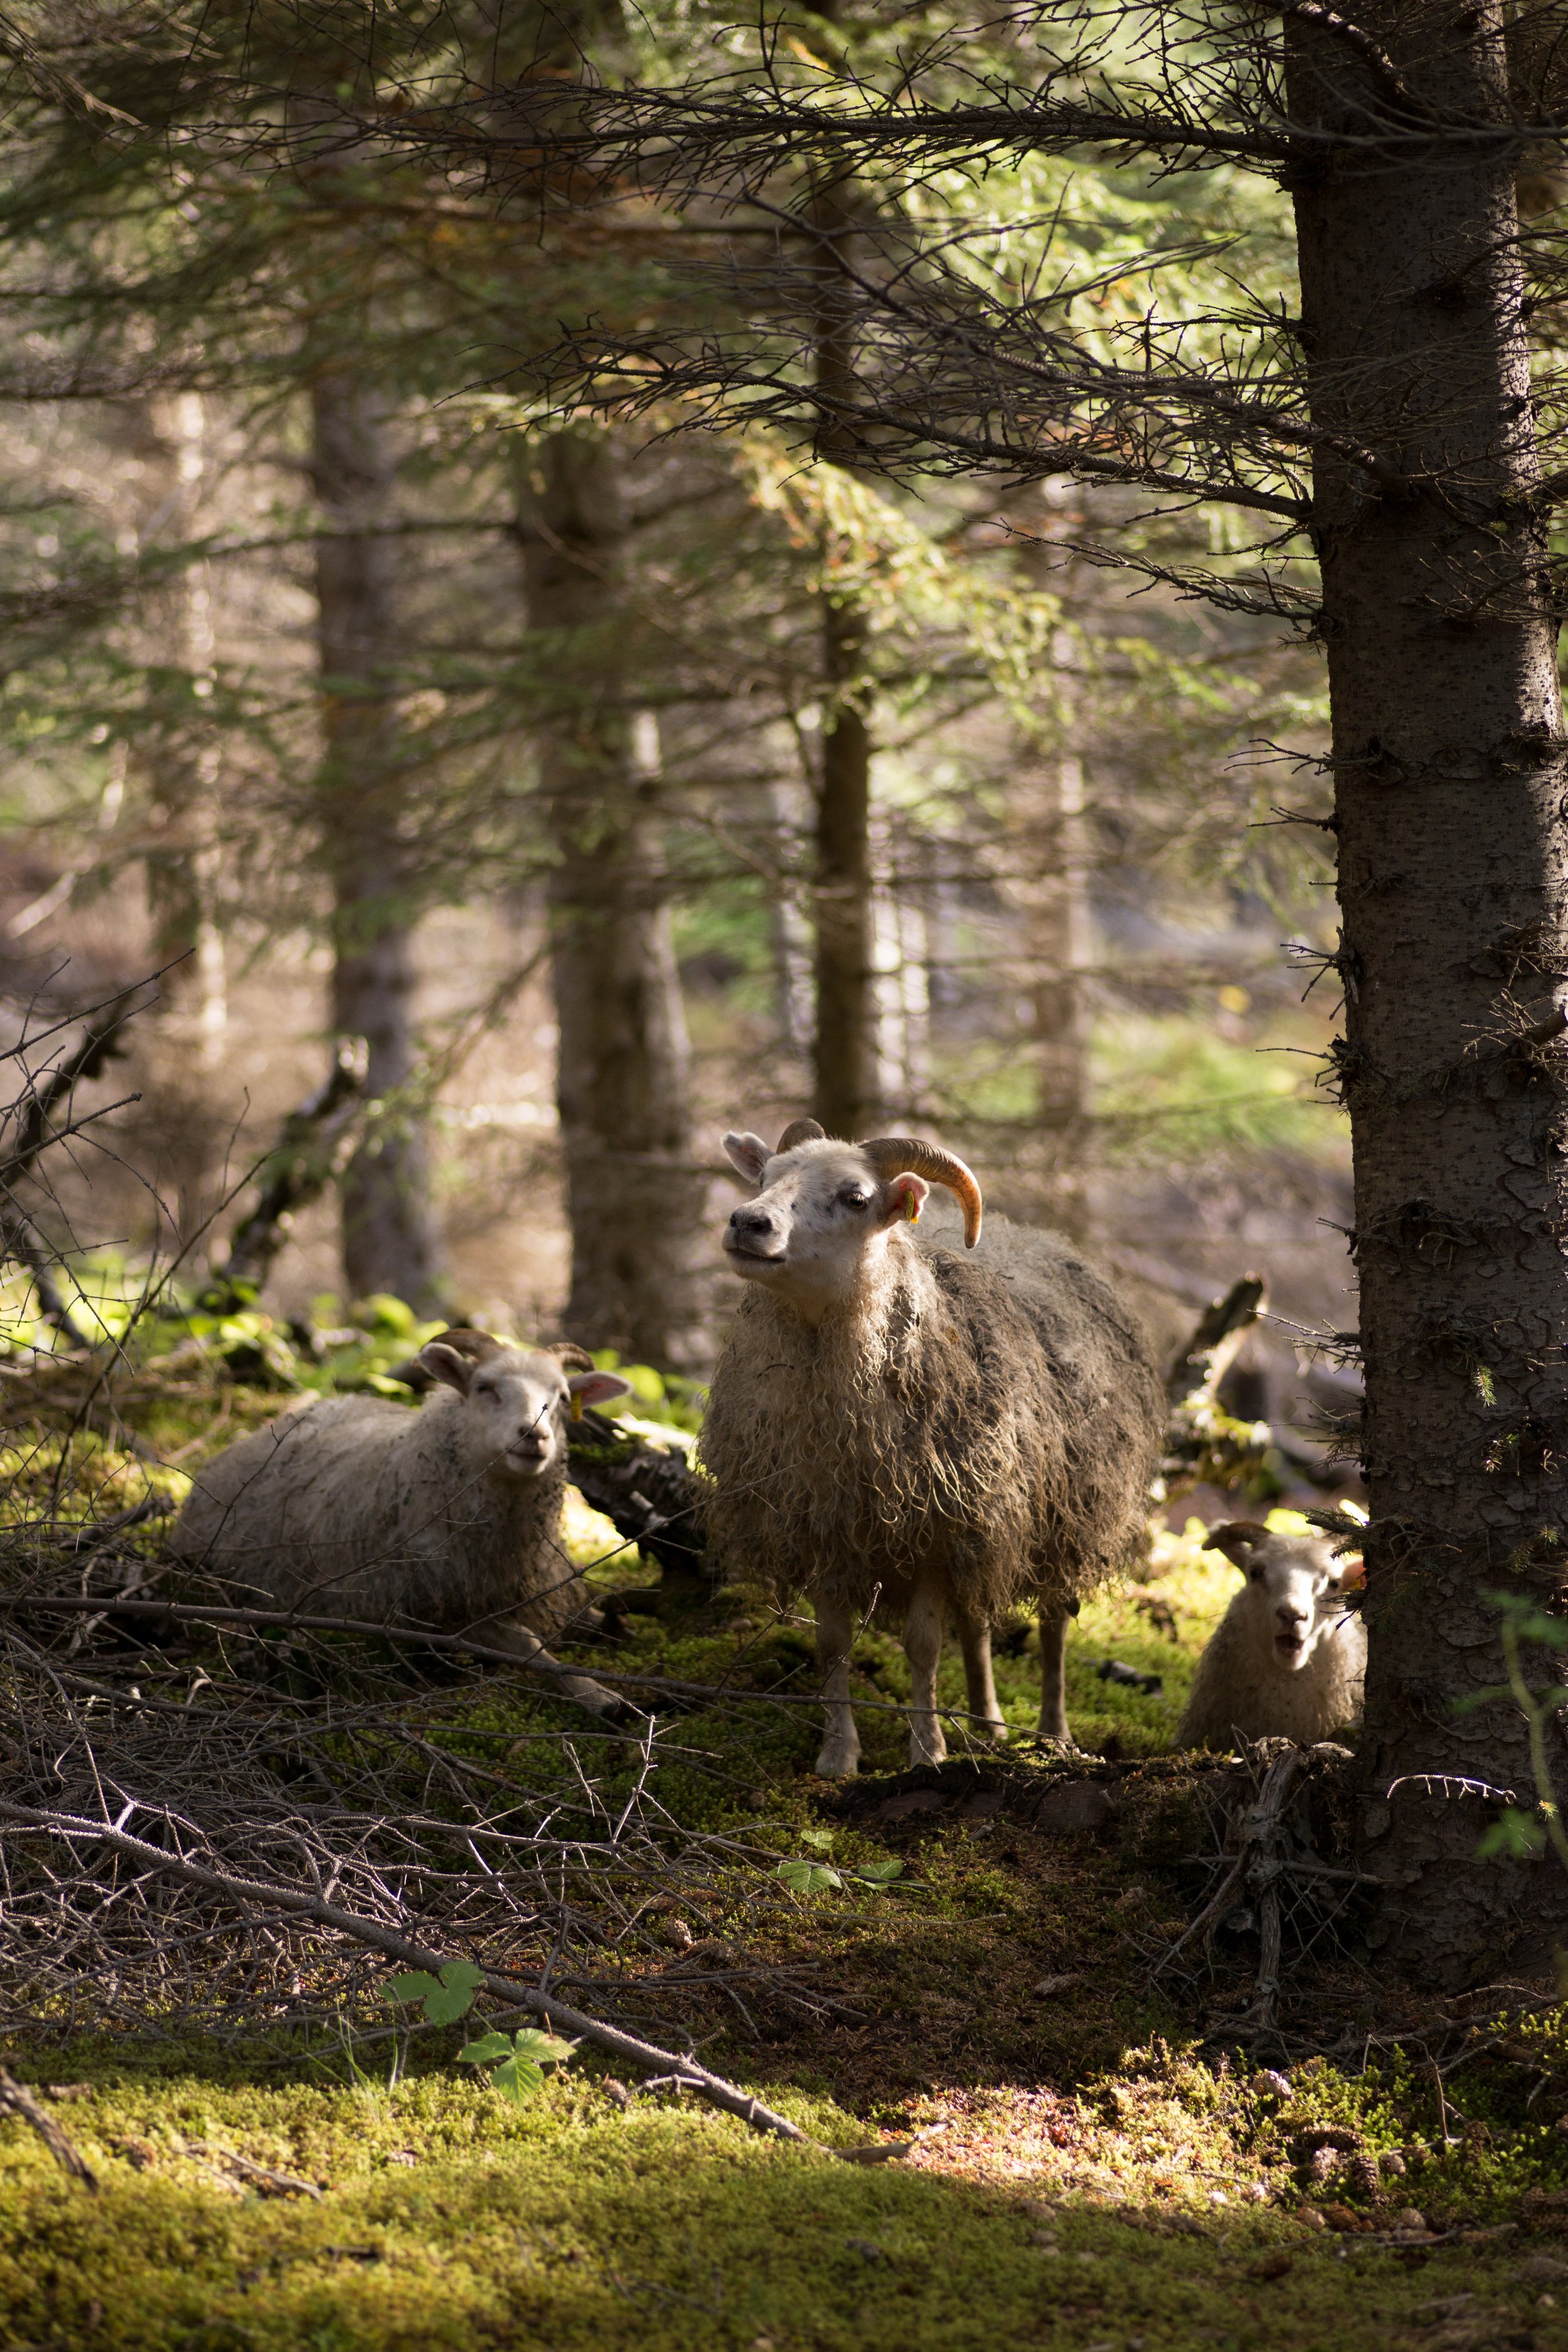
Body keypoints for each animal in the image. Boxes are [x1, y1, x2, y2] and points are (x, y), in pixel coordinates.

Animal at [170, 1329, 634, 1717]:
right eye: (484, 1387)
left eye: (562, 1397)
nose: (534, 1436)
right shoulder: (443, 1612)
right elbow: (530, 1646)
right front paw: (602, 1697)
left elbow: (585, 1612)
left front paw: (610, 1623)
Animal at [699, 1119, 1166, 1774]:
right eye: (765, 1176)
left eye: (856, 1198)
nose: (747, 1223)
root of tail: (1040, 1237)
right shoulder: (827, 1527)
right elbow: (832, 1645)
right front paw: (838, 1755)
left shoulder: (934, 1537)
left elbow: (922, 1647)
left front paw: (927, 1751)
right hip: (988, 1523)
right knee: (977, 1622)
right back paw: (987, 1725)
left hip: (1063, 1519)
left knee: (1053, 1628)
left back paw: (1053, 1734)